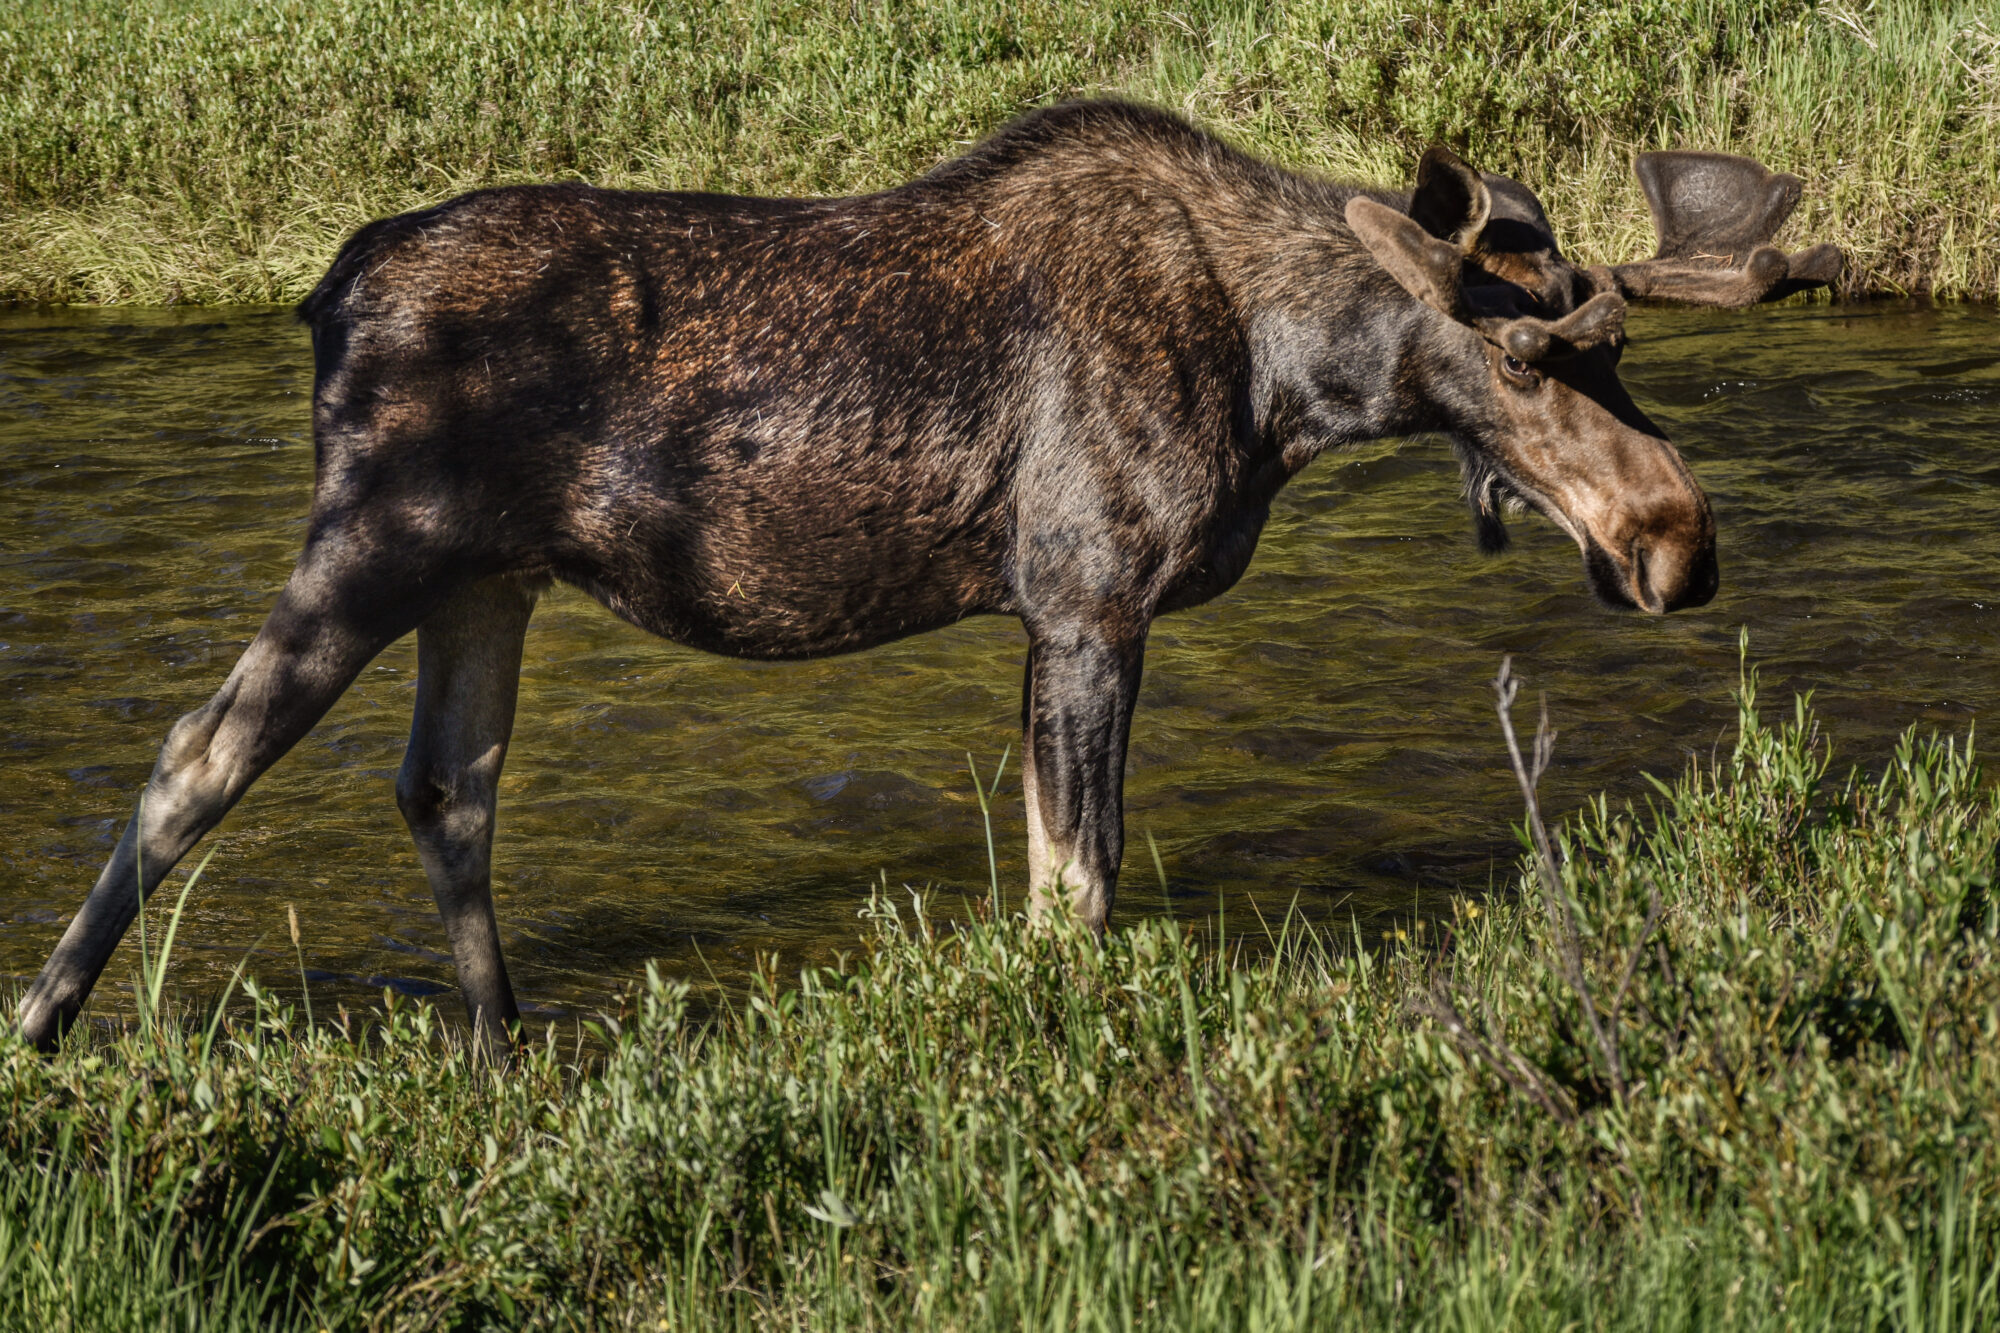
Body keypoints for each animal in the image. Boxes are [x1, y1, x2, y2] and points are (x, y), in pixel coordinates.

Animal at [16, 101, 1841, 1051]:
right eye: (1528, 358)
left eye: (1617, 352)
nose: (1679, 537)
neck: (1288, 388)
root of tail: (323, 294)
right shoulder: (1089, 595)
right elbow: (1080, 886)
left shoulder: (1055, 616)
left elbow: (1047, 875)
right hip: (375, 534)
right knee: (195, 755)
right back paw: (42, 1019)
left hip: (489, 573)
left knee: (449, 787)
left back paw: (504, 1039)